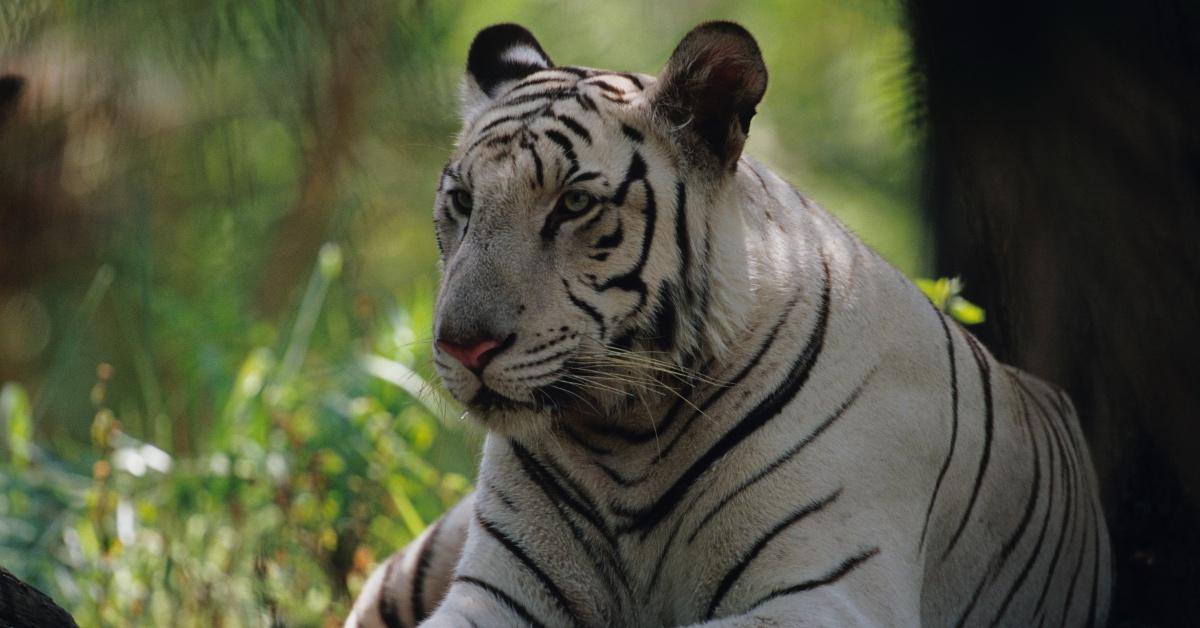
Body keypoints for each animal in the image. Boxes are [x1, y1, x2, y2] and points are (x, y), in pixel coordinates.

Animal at [348, 20, 1113, 628]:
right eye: (462, 202)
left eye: (572, 205)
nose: (462, 347)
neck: (623, 436)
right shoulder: (497, 588)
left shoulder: (824, 589)